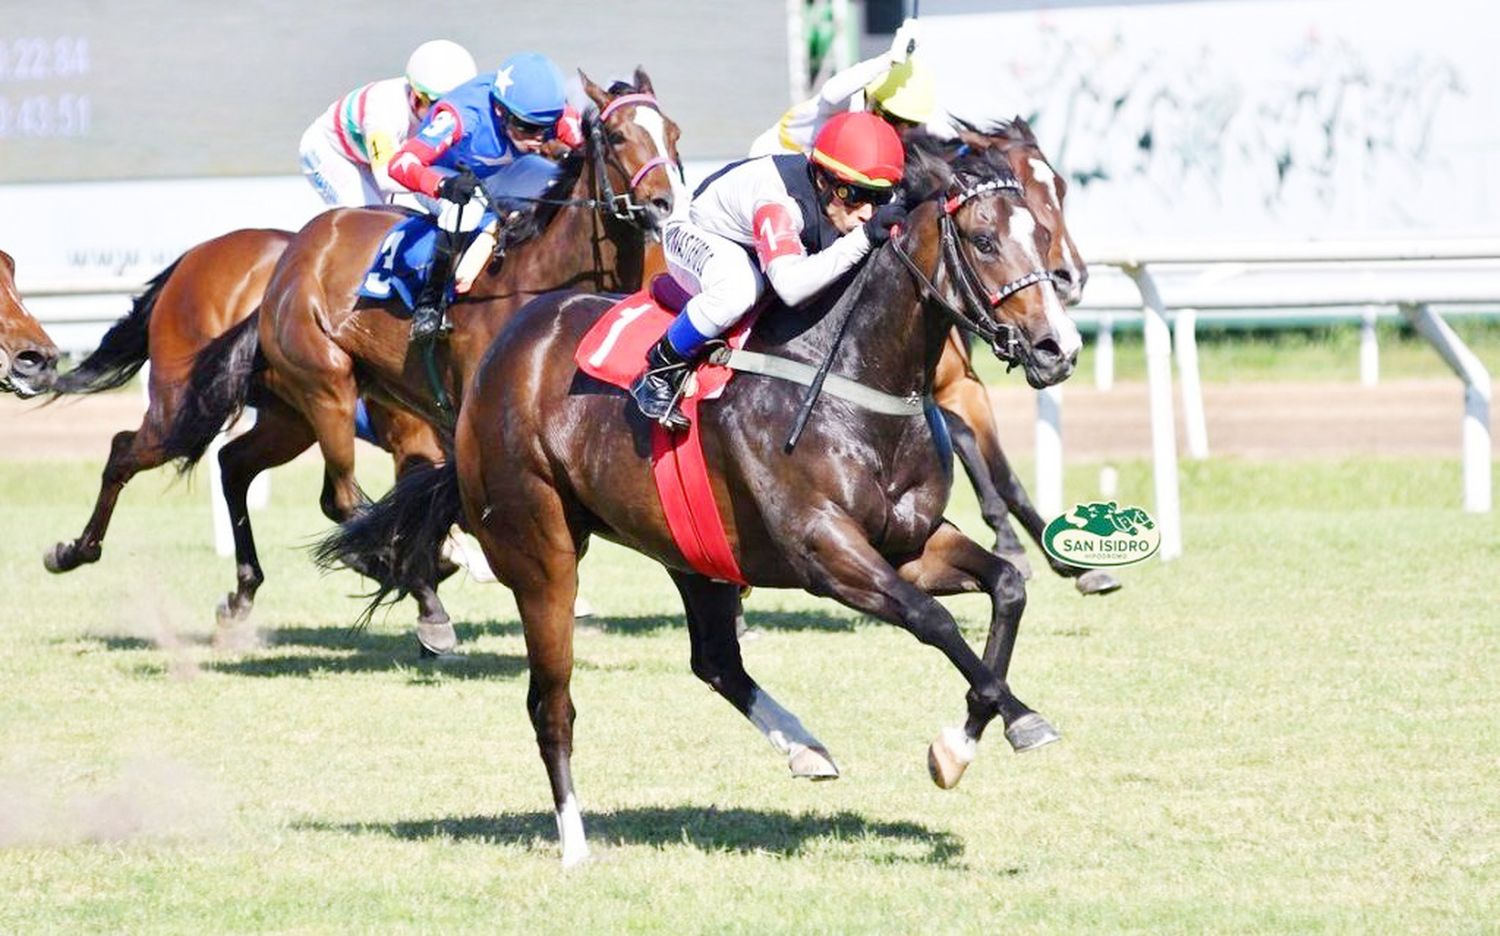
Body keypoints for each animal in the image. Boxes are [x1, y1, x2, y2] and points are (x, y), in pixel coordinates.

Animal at [158, 73, 687, 651]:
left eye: (673, 133)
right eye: (615, 136)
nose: (665, 204)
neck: (540, 276)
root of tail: (292, 259)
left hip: (297, 413)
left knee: (236, 465)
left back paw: (245, 596)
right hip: (326, 387)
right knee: (341, 499)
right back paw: (417, 592)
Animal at [322, 137, 1086, 864]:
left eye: (1042, 232)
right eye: (983, 240)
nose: (1059, 348)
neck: (853, 378)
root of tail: (497, 363)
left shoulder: (909, 542)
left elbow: (1009, 586)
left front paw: (978, 733)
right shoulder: (826, 552)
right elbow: (933, 620)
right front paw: (998, 728)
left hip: (692, 549)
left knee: (715, 659)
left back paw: (805, 748)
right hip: (541, 555)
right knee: (551, 704)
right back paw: (575, 845)